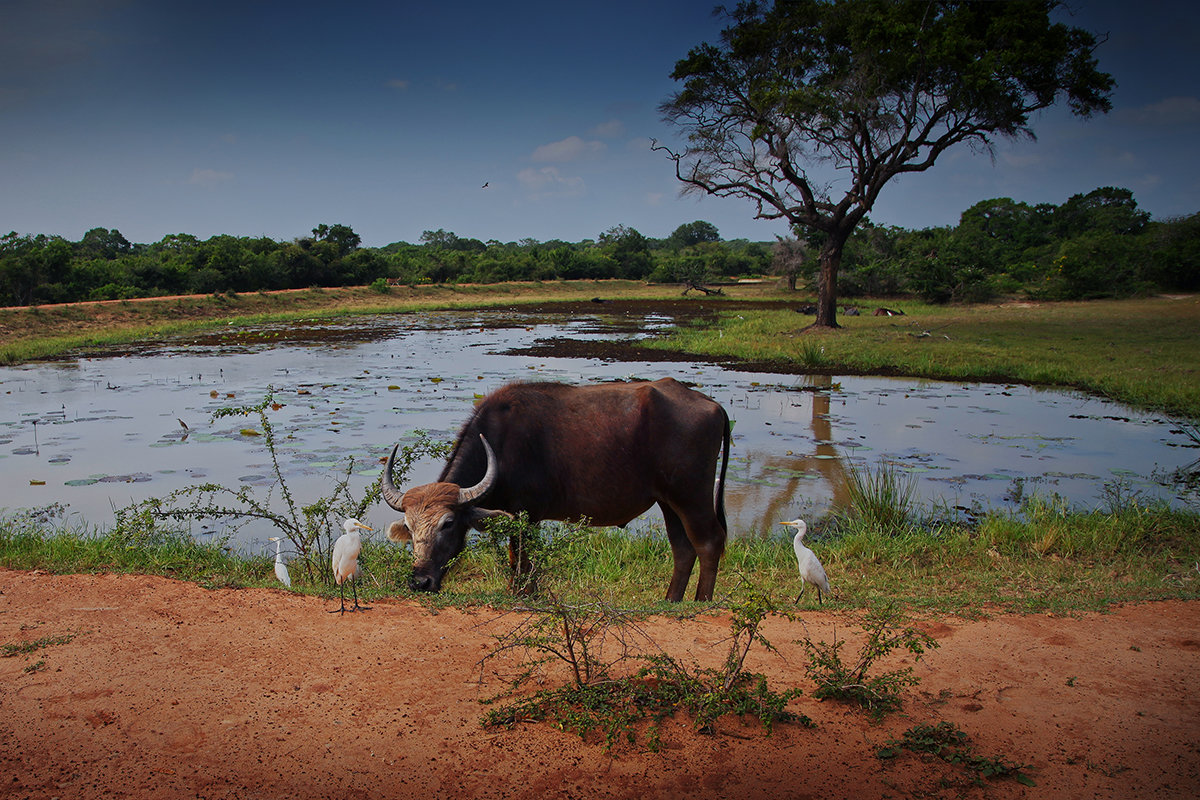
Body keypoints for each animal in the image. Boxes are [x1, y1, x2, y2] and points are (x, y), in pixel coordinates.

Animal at [379, 381, 729, 599]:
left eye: (448, 524)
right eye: (409, 528)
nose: (420, 581)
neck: (501, 446)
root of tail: (712, 405)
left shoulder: (528, 515)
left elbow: (523, 559)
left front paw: (524, 594)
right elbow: (515, 559)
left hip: (692, 496)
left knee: (709, 542)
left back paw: (701, 600)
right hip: (668, 501)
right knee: (682, 548)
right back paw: (671, 599)